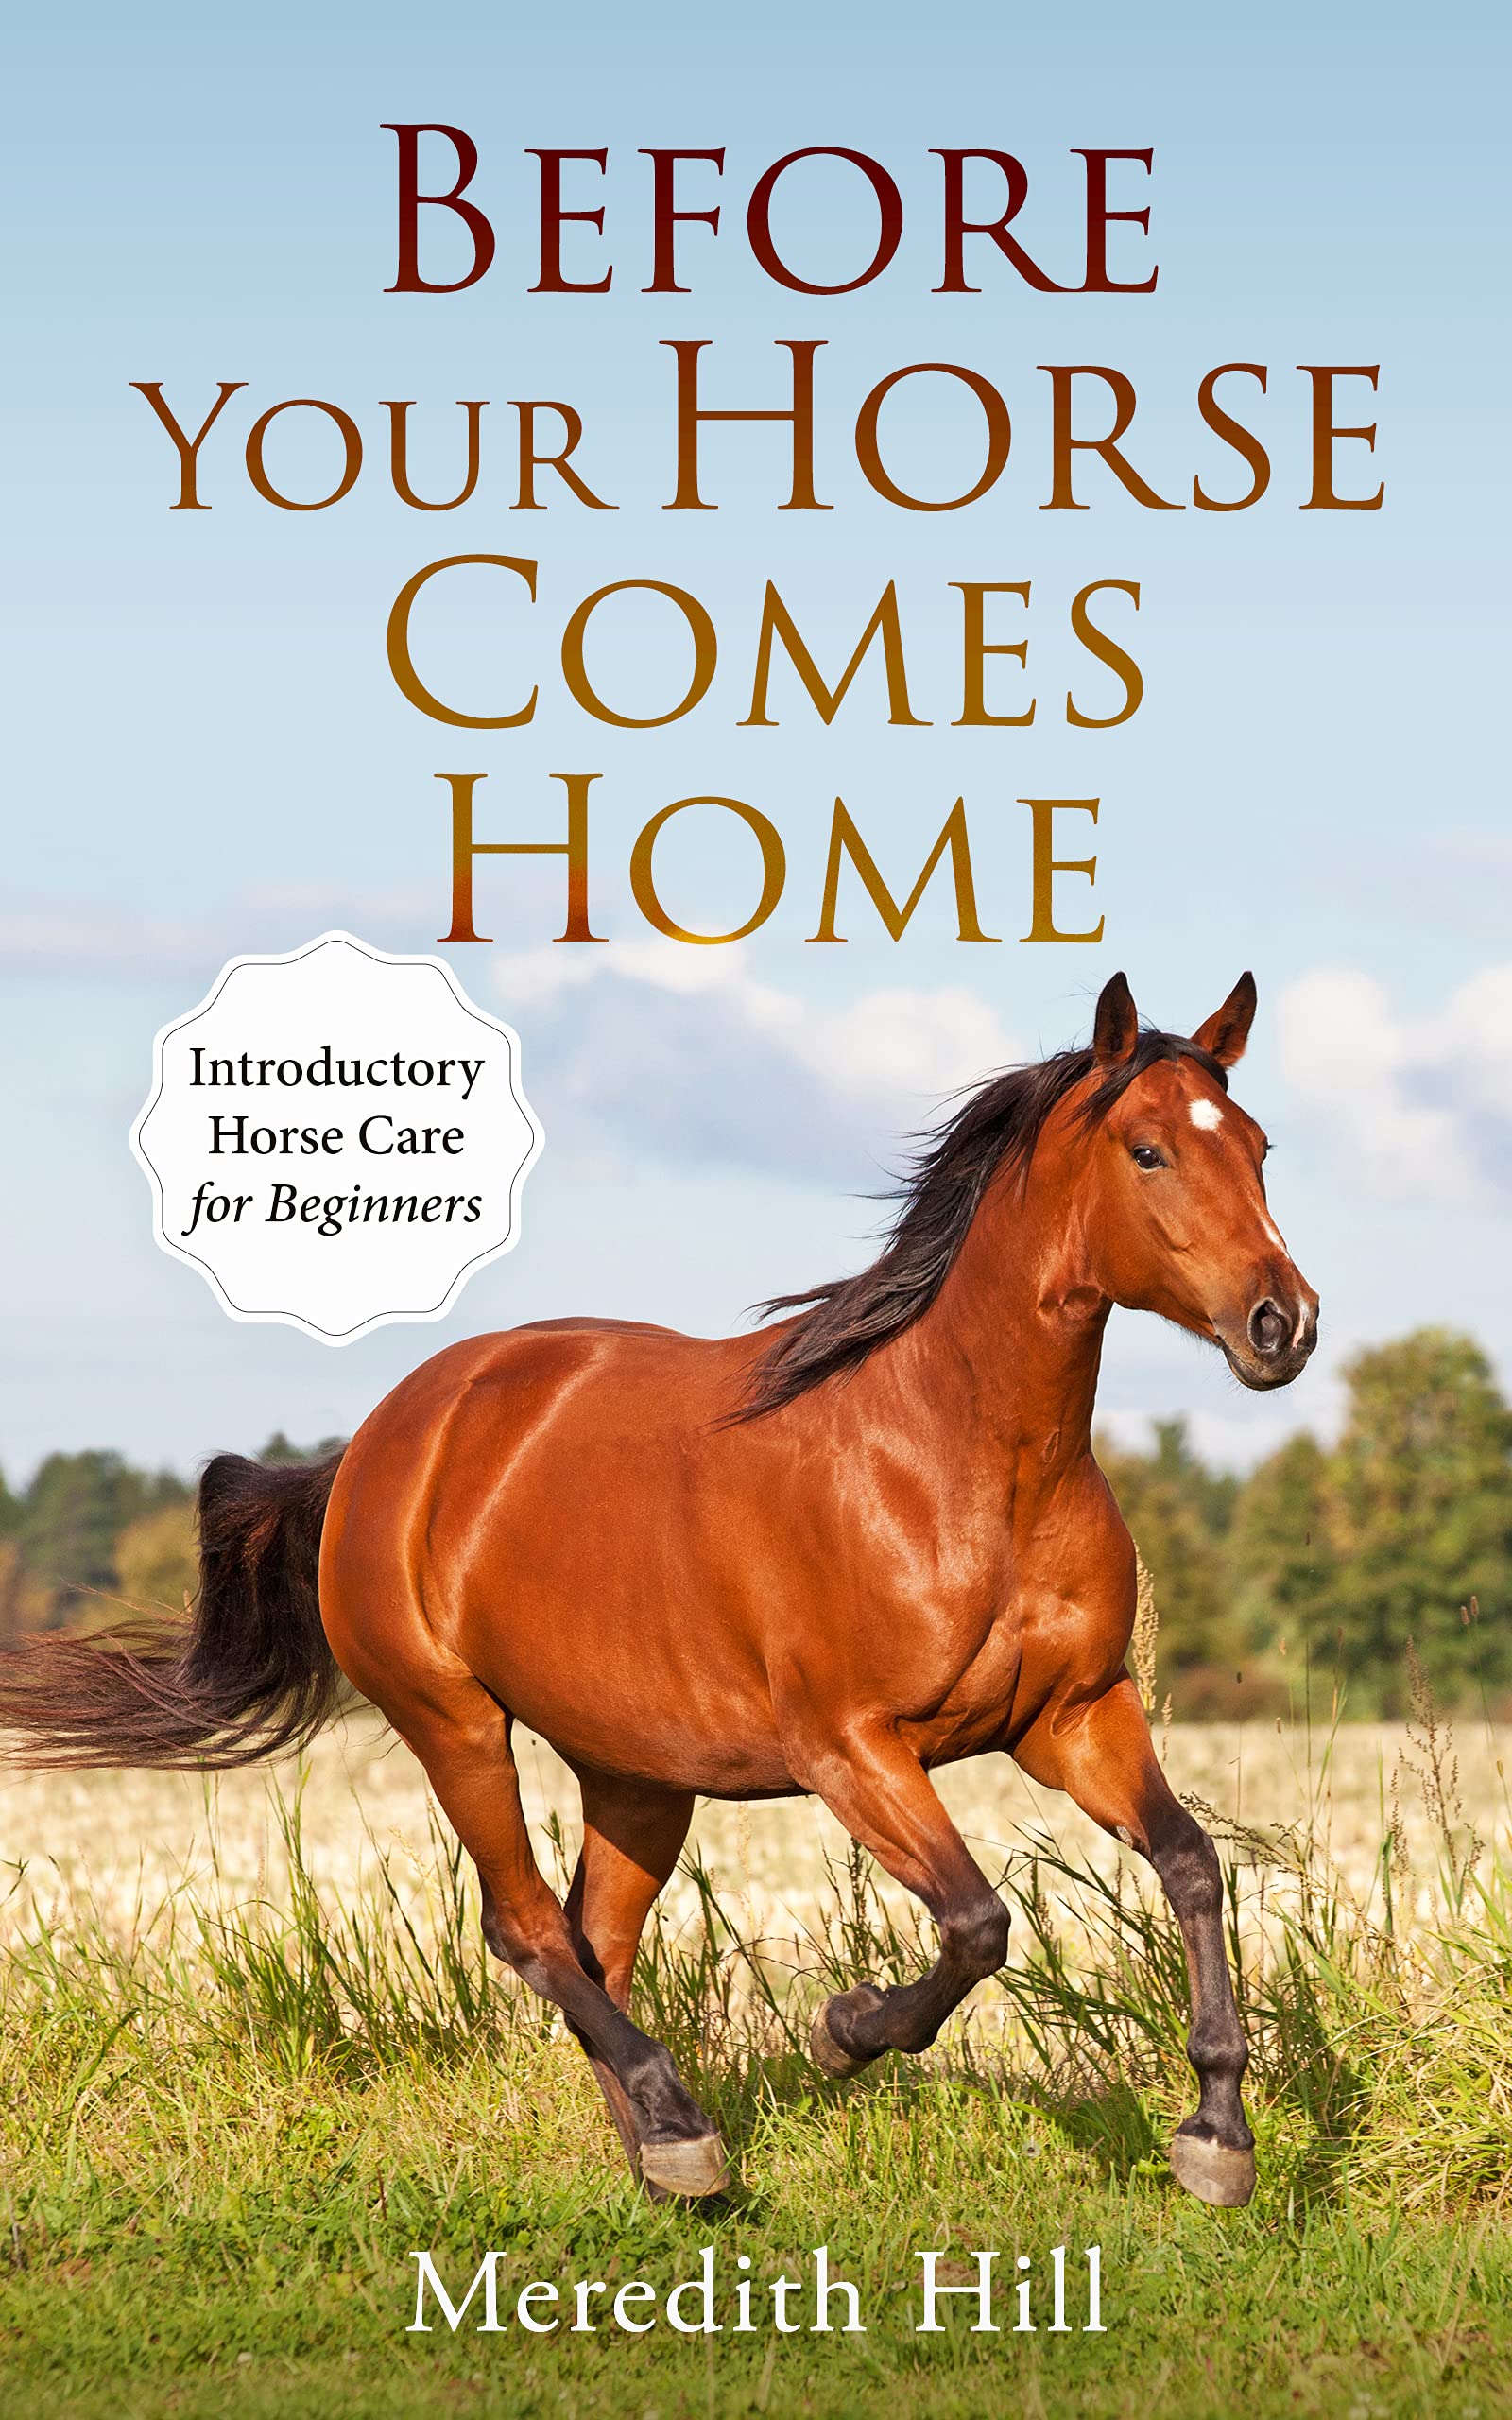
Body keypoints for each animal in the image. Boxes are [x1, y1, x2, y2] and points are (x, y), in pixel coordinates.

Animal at [0, 970, 1317, 2208]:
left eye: (1257, 1146)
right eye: (1147, 1148)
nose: (1282, 1323)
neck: (966, 1465)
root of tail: (380, 1441)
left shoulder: (1074, 1717)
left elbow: (1190, 1862)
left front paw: (1217, 2137)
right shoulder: (852, 1748)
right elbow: (977, 1923)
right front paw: (845, 2031)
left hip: (636, 1775)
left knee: (598, 1938)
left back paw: (666, 2154)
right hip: (454, 1723)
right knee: (528, 1927)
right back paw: (680, 2126)